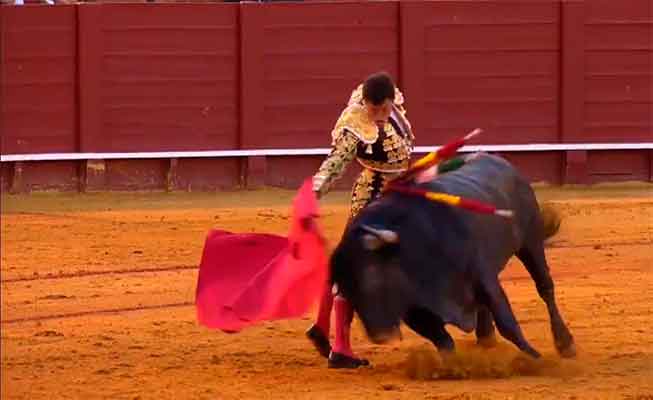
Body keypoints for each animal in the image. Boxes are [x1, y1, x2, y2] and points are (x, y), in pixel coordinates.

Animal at [329, 153, 576, 361]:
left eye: (372, 276)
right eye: (345, 288)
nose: (380, 336)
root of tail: (503, 163)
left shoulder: (484, 279)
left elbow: (507, 324)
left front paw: (536, 359)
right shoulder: (414, 308)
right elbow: (443, 341)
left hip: (530, 242)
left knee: (545, 287)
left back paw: (565, 344)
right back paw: (485, 336)